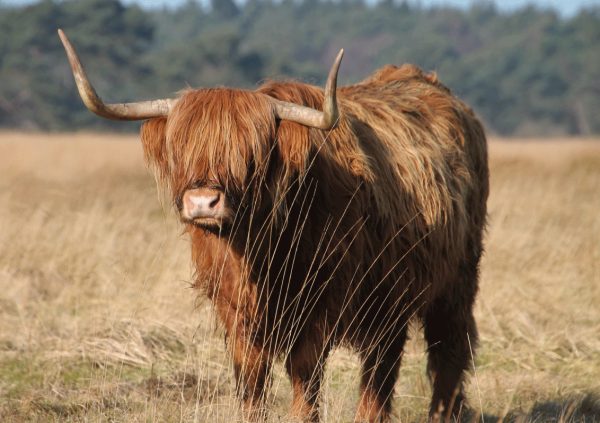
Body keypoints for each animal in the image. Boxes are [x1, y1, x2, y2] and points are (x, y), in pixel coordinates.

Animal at [58, 29, 488, 423]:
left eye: (250, 153)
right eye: (182, 148)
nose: (203, 202)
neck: (261, 250)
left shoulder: (317, 309)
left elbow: (306, 382)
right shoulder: (236, 311)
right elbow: (251, 383)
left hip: (453, 283)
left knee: (441, 355)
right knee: (383, 371)